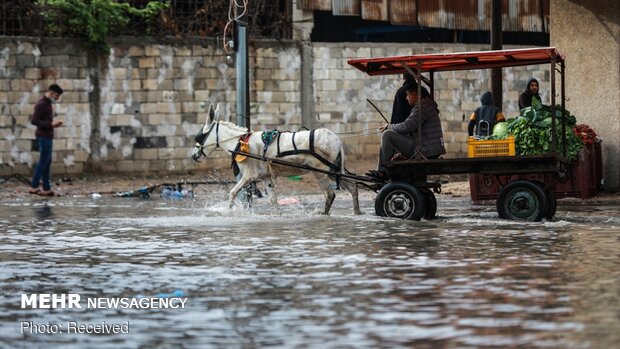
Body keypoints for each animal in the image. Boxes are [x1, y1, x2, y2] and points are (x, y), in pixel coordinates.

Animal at [191, 104, 360, 213]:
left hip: (321, 172)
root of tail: (336, 139)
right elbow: (273, 200)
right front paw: (278, 216)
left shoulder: (248, 176)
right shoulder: (266, 178)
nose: (193, 156)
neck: (241, 142)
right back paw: (357, 212)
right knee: (353, 187)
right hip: (333, 171)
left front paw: (227, 212)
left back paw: (324, 214)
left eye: (200, 136)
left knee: (330, 195)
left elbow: (232, 193)